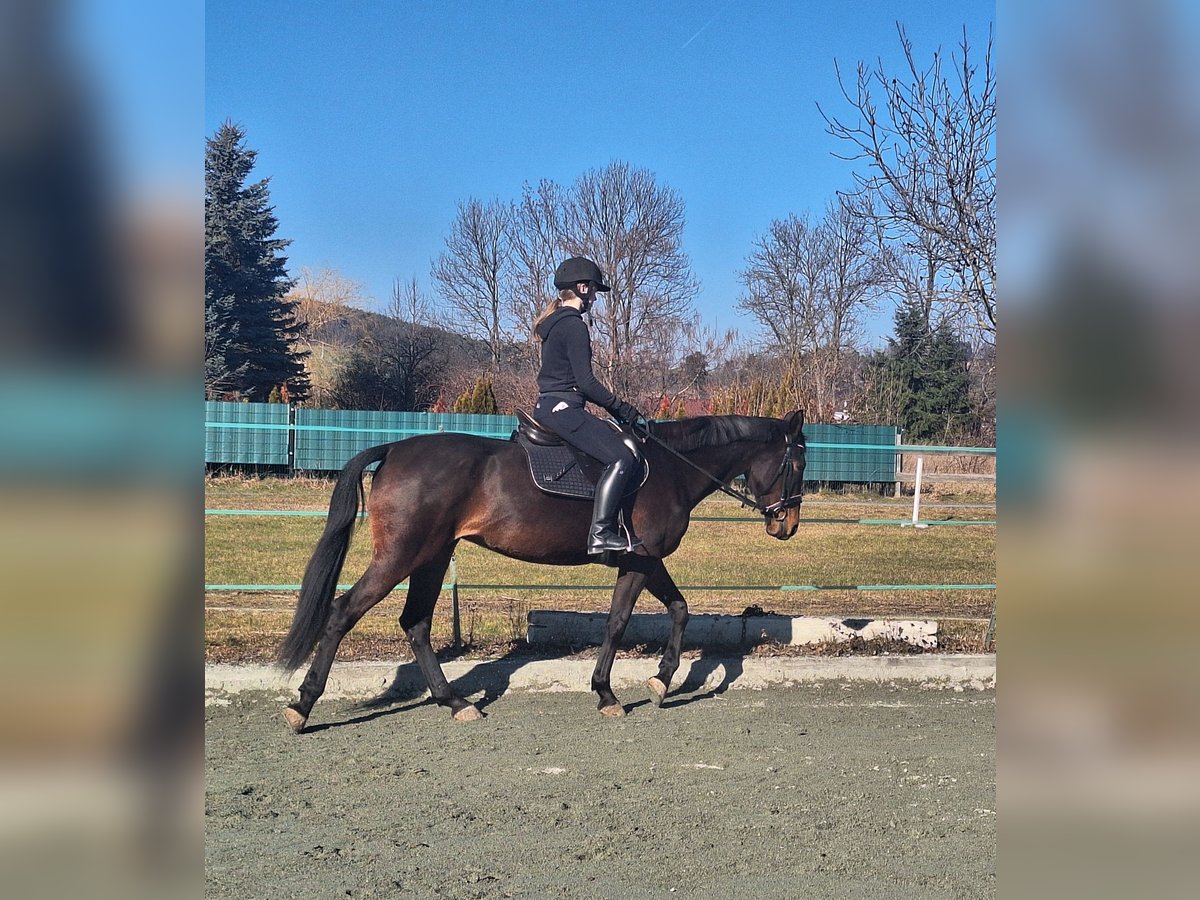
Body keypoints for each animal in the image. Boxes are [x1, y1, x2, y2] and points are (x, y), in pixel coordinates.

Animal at [278, 415, 806, 734]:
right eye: (797, 462)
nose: (787, 525)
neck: (668, 469)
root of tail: (394, 449)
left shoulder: (646, 560)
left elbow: (679, 609)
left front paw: (660, 681)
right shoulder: (638, 561)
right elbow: (618, 622)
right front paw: (609, 693)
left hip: (432, 556)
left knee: (416, 624)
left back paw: (455, 702)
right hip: (402, 556)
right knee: (343, 613)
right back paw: (302, 706)